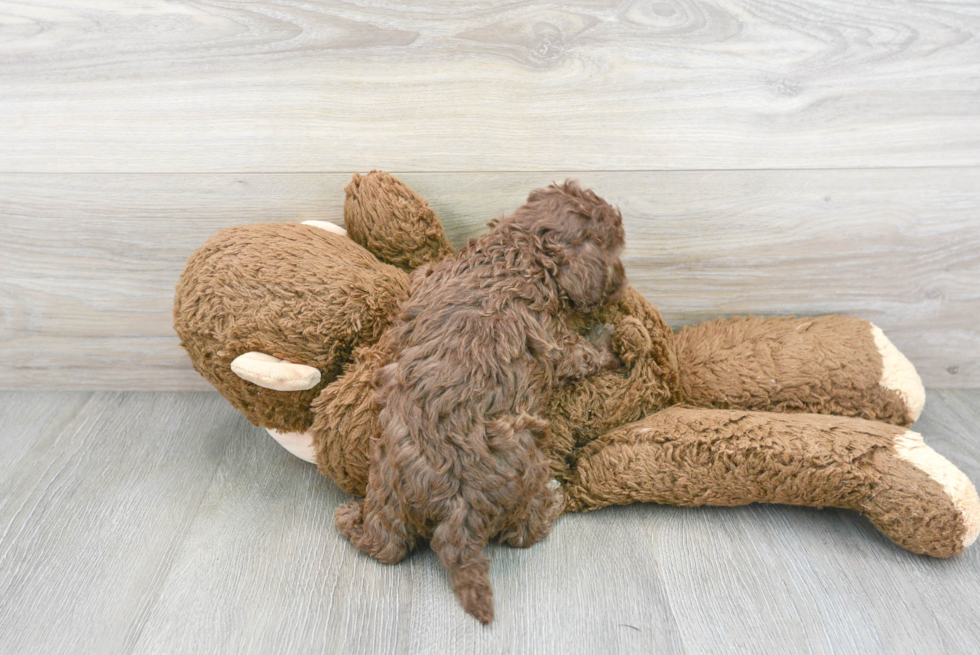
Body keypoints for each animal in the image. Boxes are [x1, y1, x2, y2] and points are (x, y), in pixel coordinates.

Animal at [334, 181, 628, 624]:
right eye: (616, 248)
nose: (625, 283)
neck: (523, 247)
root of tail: (457, 510)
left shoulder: (435, 277)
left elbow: (419, 278)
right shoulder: (557, 341)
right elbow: (584, 353)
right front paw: (610, 339)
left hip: (386, 476)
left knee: (386, 545)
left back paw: (351, 519)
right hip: (527, 459)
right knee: (522, 532)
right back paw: (554, 499)